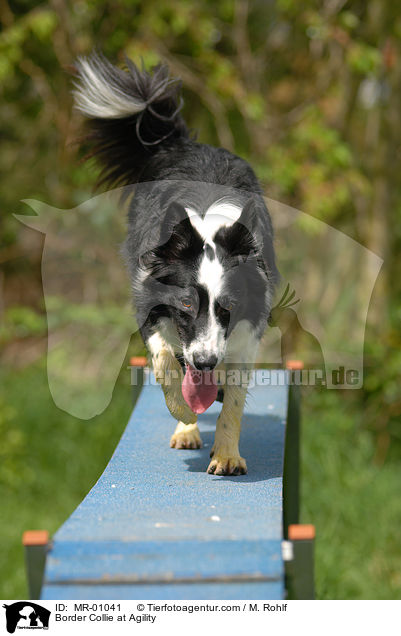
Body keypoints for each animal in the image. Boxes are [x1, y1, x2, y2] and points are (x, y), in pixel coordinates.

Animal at [73, 53, 276, 472]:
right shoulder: (150, 303)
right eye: (185, 303)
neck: (208, 226)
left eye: (229, 306)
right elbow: (167, 364)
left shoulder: (247, 331)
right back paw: (187, 426)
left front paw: (227, 454)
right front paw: (183, 413)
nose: (206, 361)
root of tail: (183, 142)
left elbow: (233, 398)